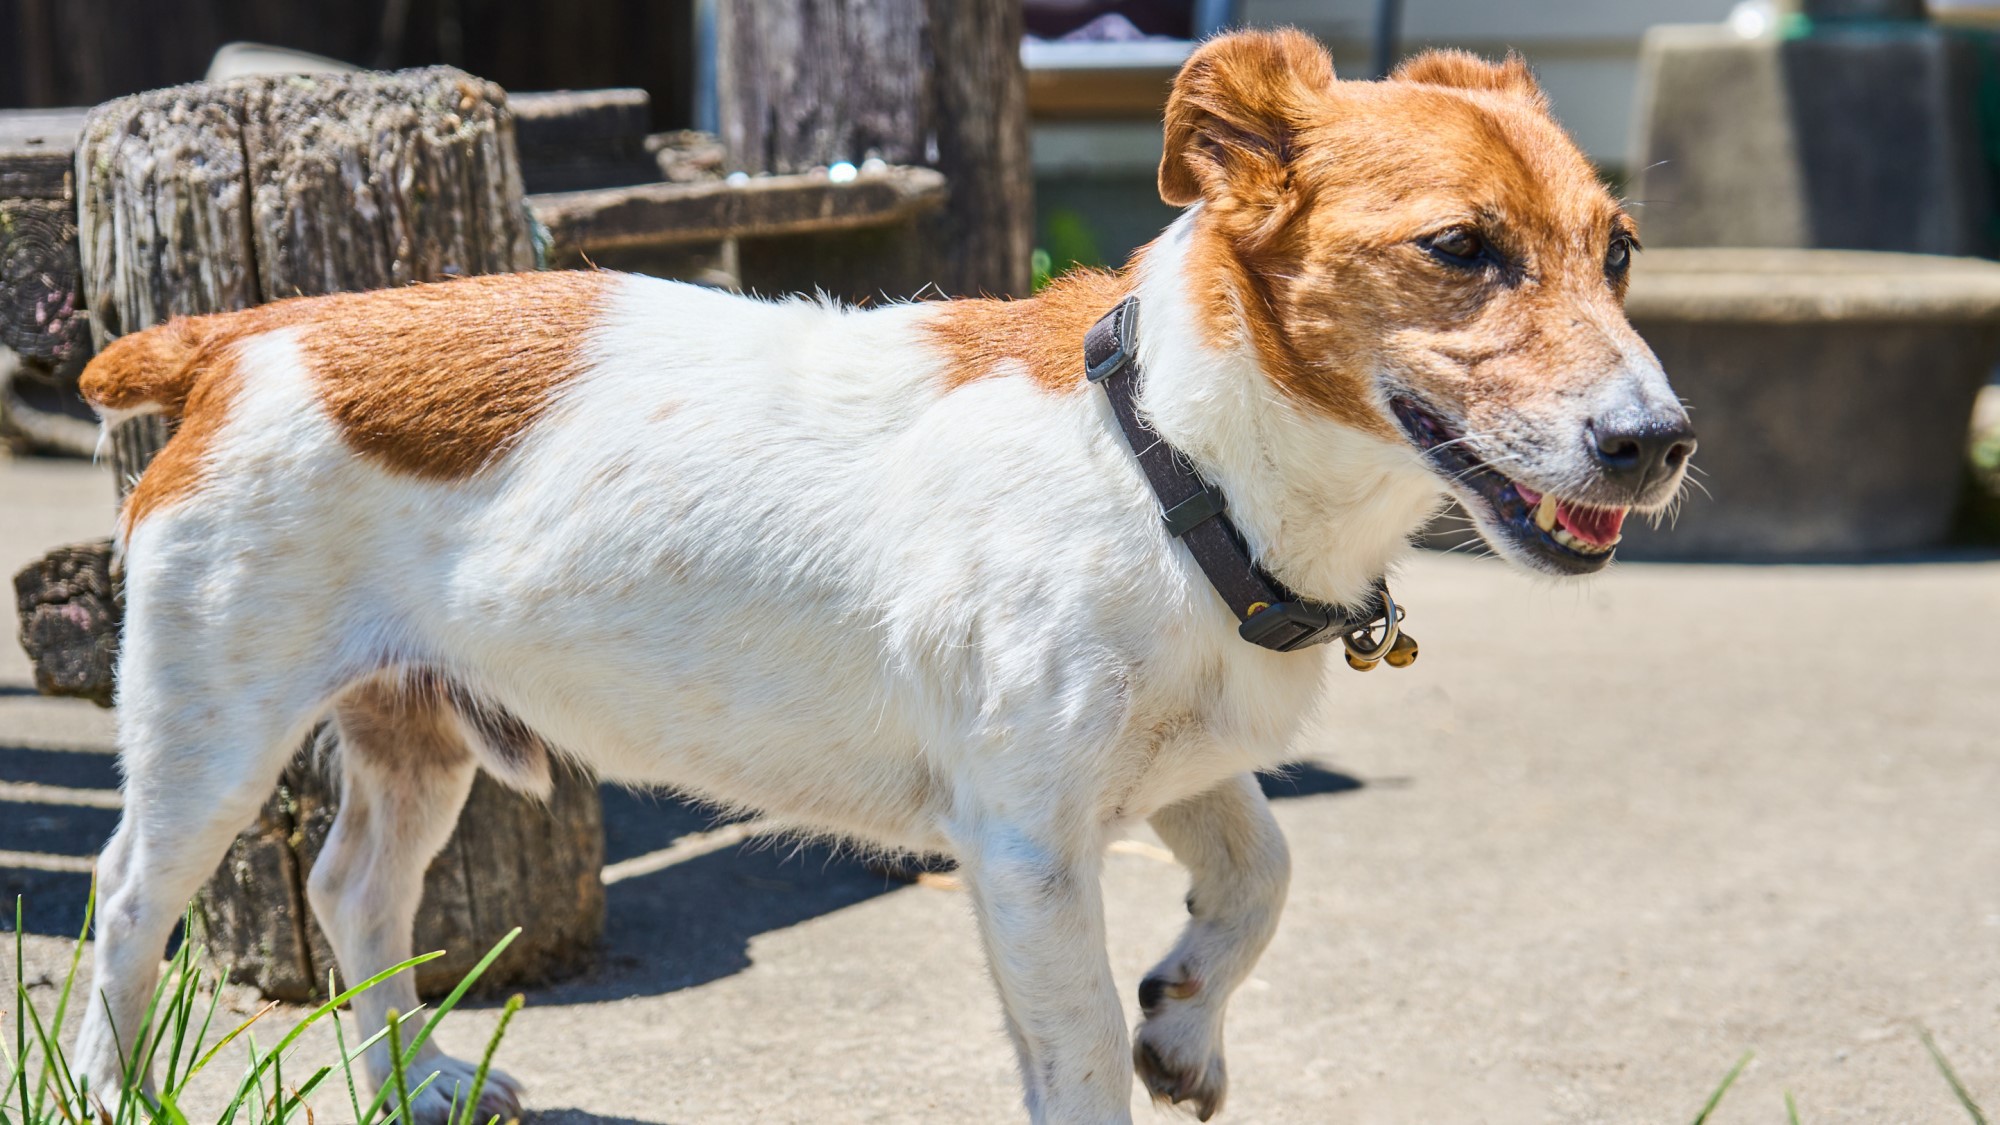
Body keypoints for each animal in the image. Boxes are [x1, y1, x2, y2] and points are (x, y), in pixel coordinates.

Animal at [70, 30, 1688, 1112]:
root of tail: (255, 331)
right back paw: (111, 1086)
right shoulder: (1026, 841)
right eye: (1460, 248)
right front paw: (1141, 1043)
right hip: (211, 731)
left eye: (1618, 251)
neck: (1172, 459)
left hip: (413, 732)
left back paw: (414, 1085)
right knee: (125, 901)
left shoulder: (1173, 763)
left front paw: (1183, 1022)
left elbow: (1263, 871)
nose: (1657, 443)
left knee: (352, 893)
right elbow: (1078, 1058)